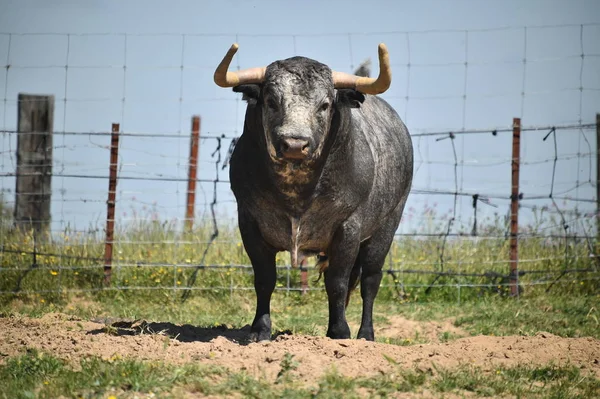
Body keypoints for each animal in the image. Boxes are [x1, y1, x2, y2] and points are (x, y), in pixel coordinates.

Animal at [213, 44, 414, 344]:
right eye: (271, 101)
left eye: (325, 105)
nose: (295, 144)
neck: (297, 191)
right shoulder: (249, 223)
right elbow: (264, 279)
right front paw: (260, 330)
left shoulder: (348, 227)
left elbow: (337, 282)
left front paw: (340, 332)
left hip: (385, 229)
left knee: (370, 281)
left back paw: (366, 335)